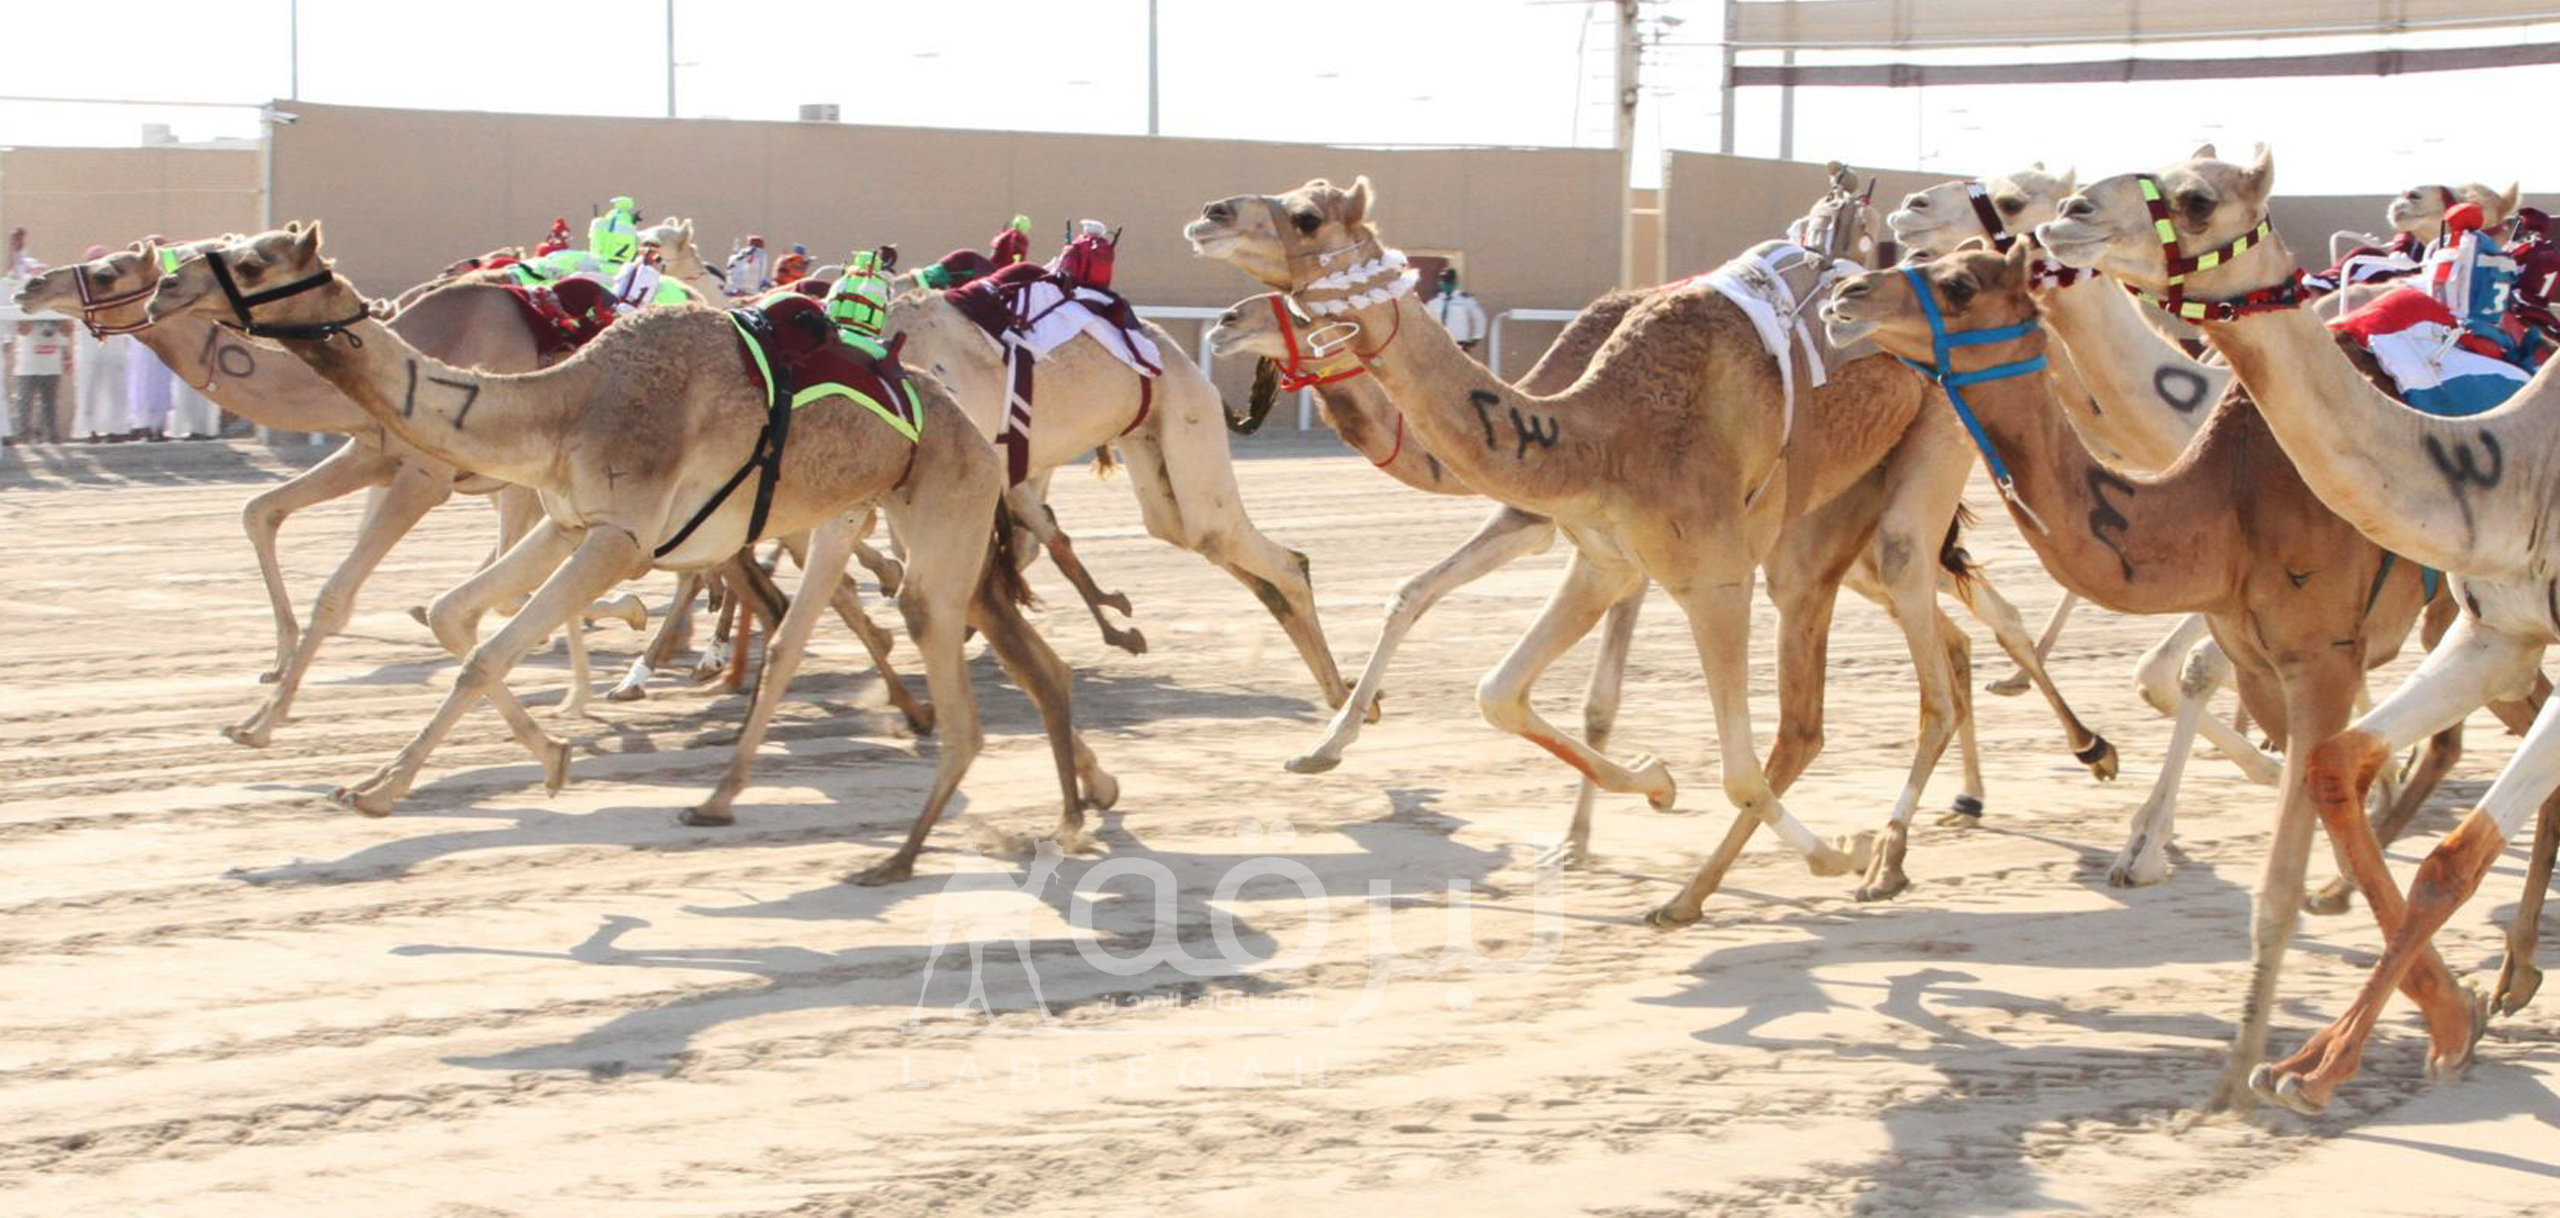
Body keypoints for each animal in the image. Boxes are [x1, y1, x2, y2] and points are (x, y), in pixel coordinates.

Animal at [149, 223, 1111, 880]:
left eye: (254, 262)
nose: (162, 289)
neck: (565, 399)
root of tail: (968, 423)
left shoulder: (620, 535)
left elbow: (487, 650)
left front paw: (385, 787)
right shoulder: (569, 520)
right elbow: (454, 615)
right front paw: (548, 751)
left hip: (934, 513)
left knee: (932, 645)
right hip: (883, 519)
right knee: (961, 644)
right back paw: (1074, 802)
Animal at [1187, 176, 1986, 910]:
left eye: (1306, 216)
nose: (1209, 216)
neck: (1598, 431)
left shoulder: (1708, 574)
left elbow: (1732, 768)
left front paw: (1838, 852)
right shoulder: (1601, 557)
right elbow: (1496, 687)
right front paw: (1651, 785)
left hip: (1929, 451)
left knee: (1892, 679)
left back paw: (1868, 862)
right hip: (1826, 520)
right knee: (1905, 657)